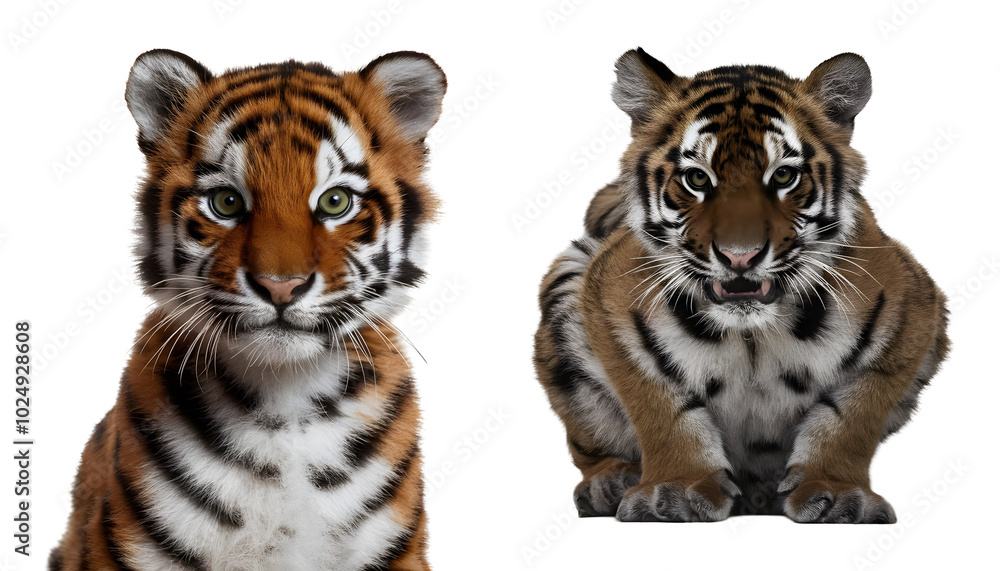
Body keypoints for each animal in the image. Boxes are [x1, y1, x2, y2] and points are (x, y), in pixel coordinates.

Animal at [533, 48, 950, 523]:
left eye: (784, 176)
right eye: (697, 179)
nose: (740, 257)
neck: (753, 334)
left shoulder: (913, 312)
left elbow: (850, 418)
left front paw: (835, 491)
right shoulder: (608, 301)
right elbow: (663, 409)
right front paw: (675, 490)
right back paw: (610, 482)